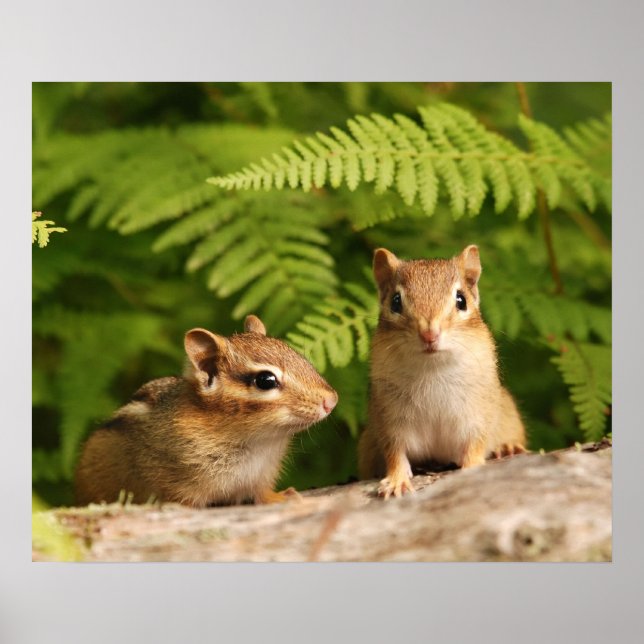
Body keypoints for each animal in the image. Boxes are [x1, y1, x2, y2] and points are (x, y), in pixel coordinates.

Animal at [74, 314, 338, 507]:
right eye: (265, 380)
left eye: (299, 357)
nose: (331, 400)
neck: (258, 441)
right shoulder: (178, 487)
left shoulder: (260, 477)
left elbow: (262, 495)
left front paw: (284, 496)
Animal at [358, 245, 526, 499]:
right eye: (395, 302)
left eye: (461, 300)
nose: (429, 333)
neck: (432, 368)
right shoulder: (388, 418)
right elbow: (395, 452)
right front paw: (396, 480)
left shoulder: (478, 414)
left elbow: (476, 442)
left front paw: (473, 467)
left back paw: (508, 447)